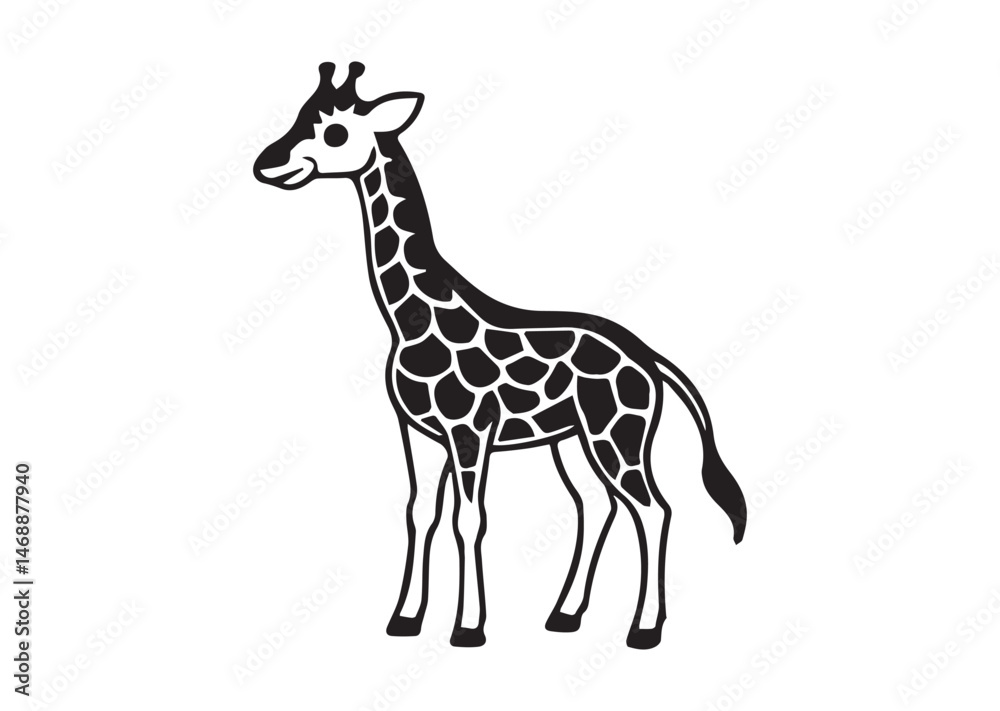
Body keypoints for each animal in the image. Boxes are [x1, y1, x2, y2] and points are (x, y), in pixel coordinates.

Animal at [253, 62, 747, 649]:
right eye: (300, 115)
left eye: (334, 132)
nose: (266, 164)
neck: (408, 318)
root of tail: (649, 358)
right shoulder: (418, 431)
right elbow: (420, 514)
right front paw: (406, 619)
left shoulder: (470, 430)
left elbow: (470, 519)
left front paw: (468, 627)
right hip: (572, 441)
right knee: (596, 505)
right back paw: (564, 615)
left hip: (617, 434)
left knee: (653, 509)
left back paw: (644, 629)